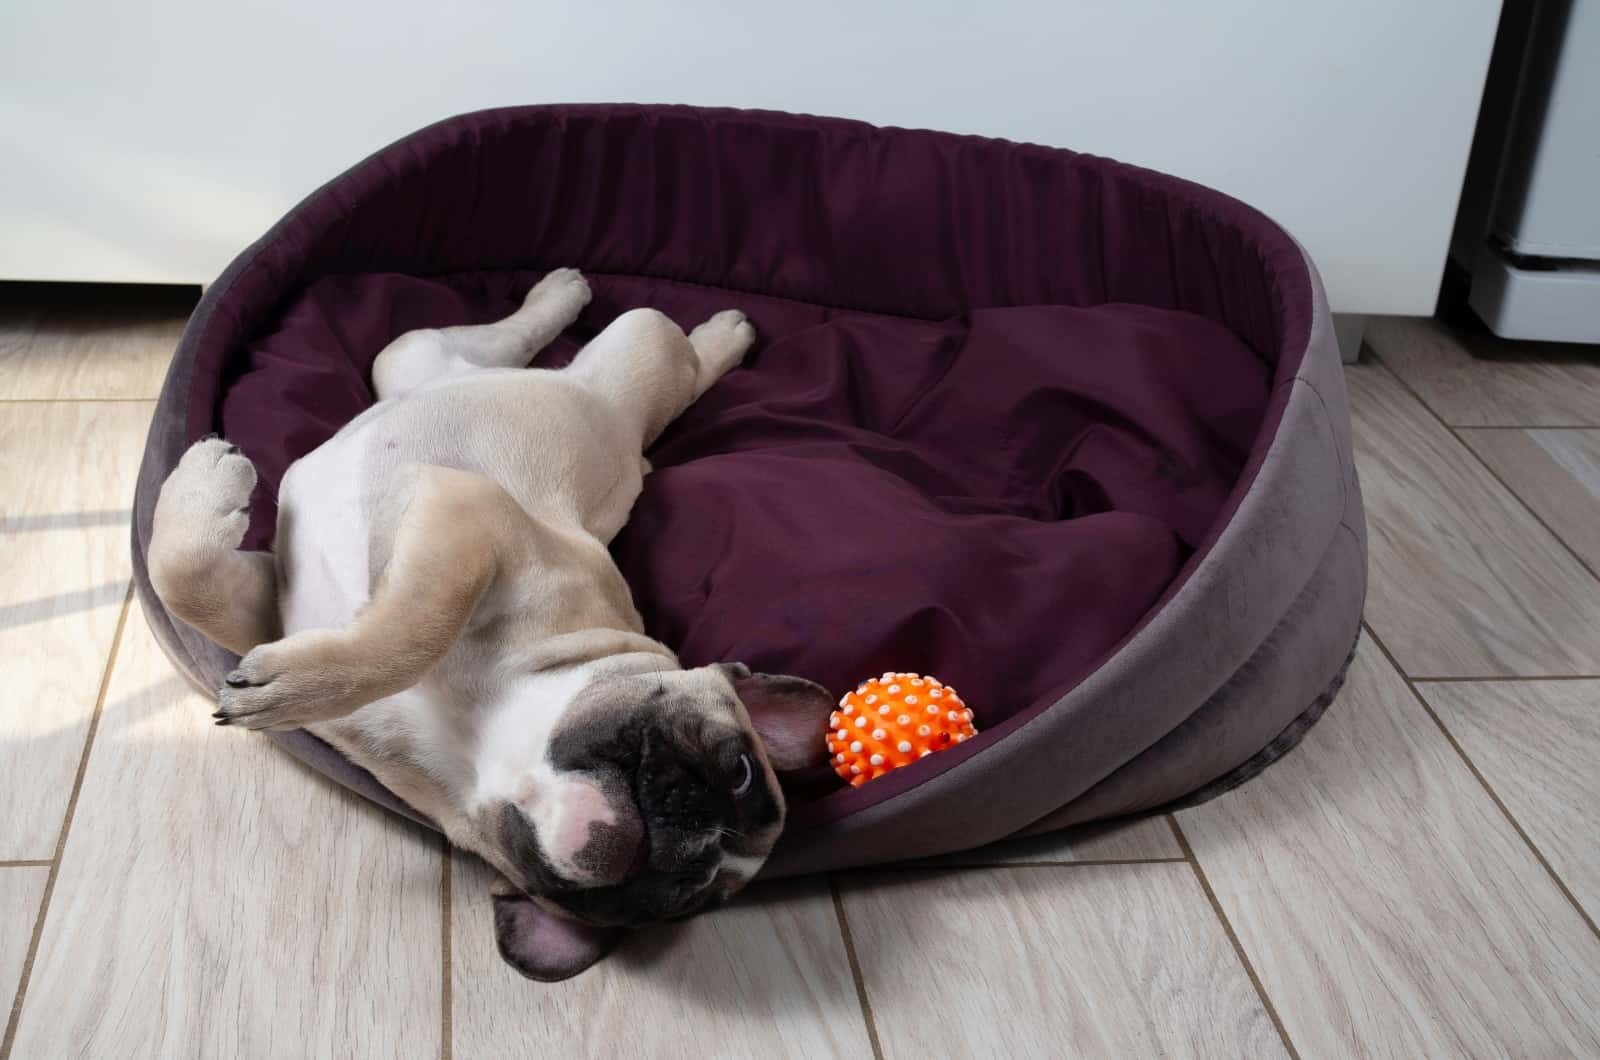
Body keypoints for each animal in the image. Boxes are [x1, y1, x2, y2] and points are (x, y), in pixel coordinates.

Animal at [150, 270, 838, 986]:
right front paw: (206, 488)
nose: (691, 843)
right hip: (519, 356)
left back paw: (696, 327)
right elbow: (193, 580)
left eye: (685, 900)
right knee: (533, 344)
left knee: (655, 368)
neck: (488, 747)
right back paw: (615, 308)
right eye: (740, 769)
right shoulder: (449, 532)